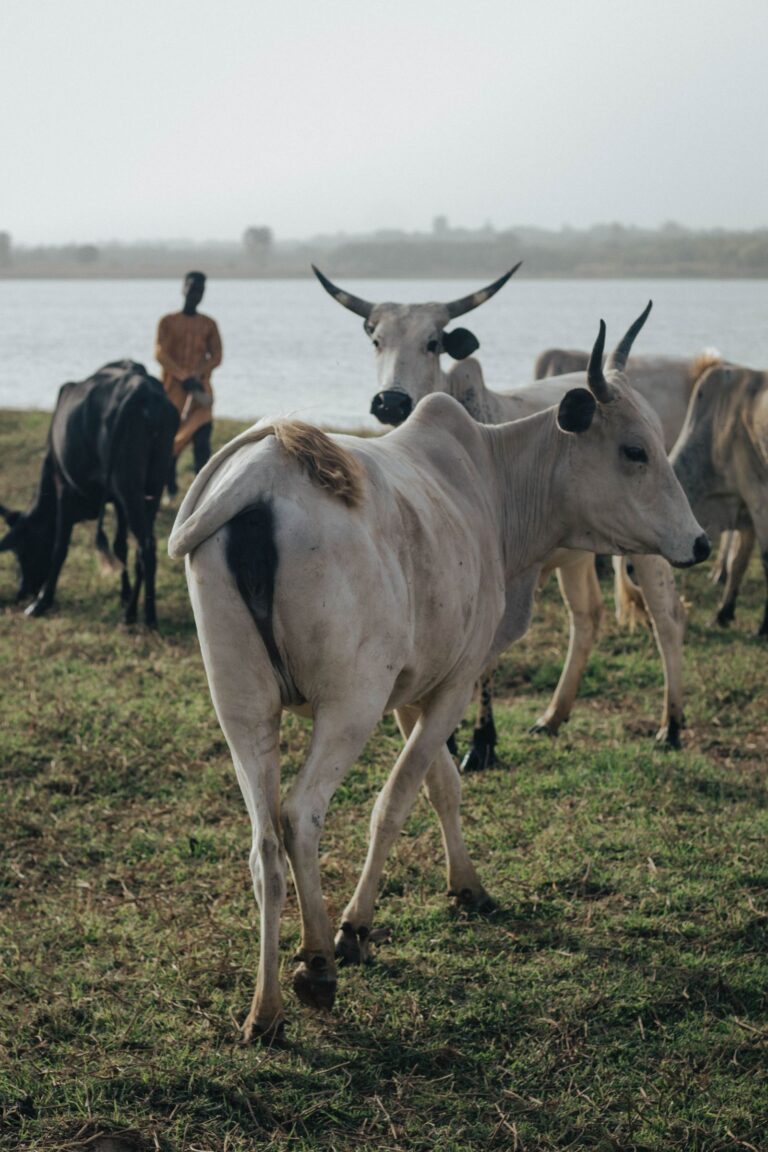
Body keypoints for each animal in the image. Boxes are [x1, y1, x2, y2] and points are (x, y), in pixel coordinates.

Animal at [0, 360, 179, 627]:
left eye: (23, 548)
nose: (23, 591)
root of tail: (141, 390)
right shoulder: (117, 502)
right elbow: (120, 547)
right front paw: (125, 596)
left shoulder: (64, 488)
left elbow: (60, 547)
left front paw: (42, 601)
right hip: (152, 487)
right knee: (143, 547)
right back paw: (133, 613)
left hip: (128, 486)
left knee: (146, 546)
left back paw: (147, 617)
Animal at [313, 269, 693, 759]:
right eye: (376, 340)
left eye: (433, 342)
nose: (390, 402)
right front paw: (452, 739)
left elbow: (484, 665)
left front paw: (482, 741)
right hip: (576, 557)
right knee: (586, 617)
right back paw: (554, 715)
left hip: (654, 544)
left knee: (667, 617)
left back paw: (672, 725)